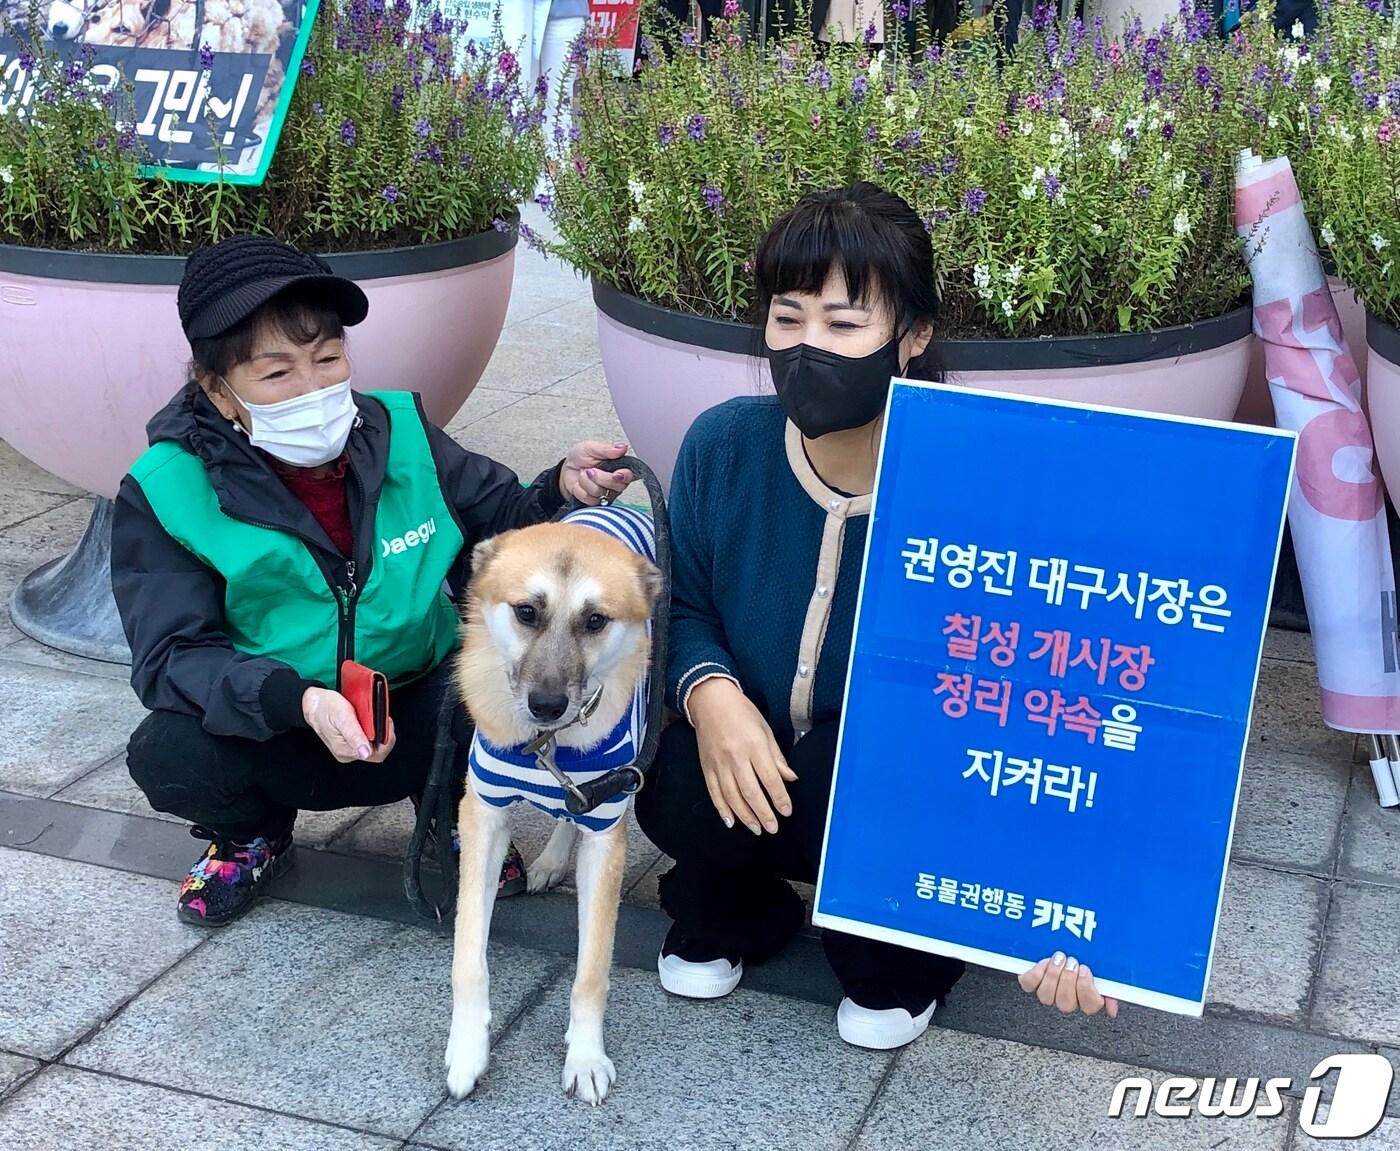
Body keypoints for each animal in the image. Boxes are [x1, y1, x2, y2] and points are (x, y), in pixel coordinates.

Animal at [448, 512, 660, 1108]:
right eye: (526, 612)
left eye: (595, 620)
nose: (547, 706)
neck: (547, 744)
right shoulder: (482, 818)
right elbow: (468, 956)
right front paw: (467, 1051)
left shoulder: (607, 835)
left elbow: (591, 971)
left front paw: (584, 1058)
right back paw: (548, 860)